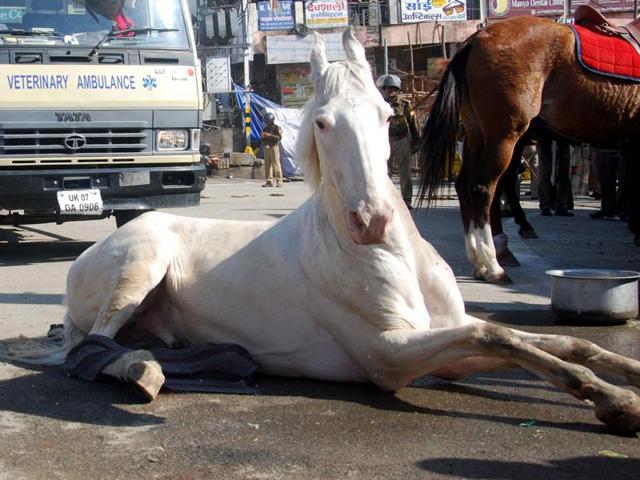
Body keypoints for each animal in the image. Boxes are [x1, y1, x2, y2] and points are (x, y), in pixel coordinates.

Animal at [418, 14, 640, 284]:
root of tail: (476, 38)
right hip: (506, 136)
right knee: (484, 188)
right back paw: (494, 264)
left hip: (479, 134)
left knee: (465, 185)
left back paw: (481, 262)